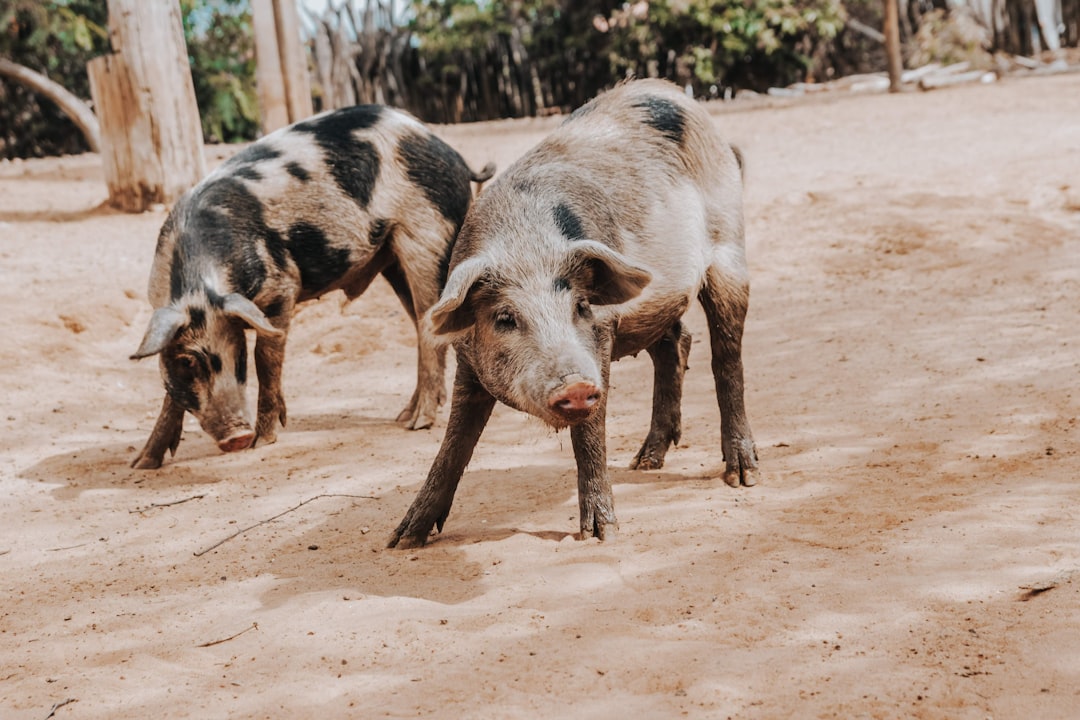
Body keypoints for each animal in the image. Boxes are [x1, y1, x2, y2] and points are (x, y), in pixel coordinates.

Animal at [130, 104, 494, 469]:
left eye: (237, 354)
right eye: (188, 362)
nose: (237, 437)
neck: (200, 284)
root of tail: (452, 154)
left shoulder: (282, 285)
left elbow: (267, 357)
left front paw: (264, 440)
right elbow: (169, 392)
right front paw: (142, 463)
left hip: (427, 237)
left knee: (428, 328)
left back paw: (418, 422)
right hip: (393, 259)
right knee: (423, 327)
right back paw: (404, 416)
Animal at [388, 78, 759, 549]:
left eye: (581, 306)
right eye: (505, 318)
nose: (577, 385)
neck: (526, 244)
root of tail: (679, 96)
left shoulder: (601, 336)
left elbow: (589, 433)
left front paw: (602, 534)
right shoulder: (468, 362)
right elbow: (453, 444)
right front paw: (401, 539)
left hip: (730, 250)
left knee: (727, 357)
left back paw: (742, 476)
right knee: (675, 343)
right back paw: (645, 461)